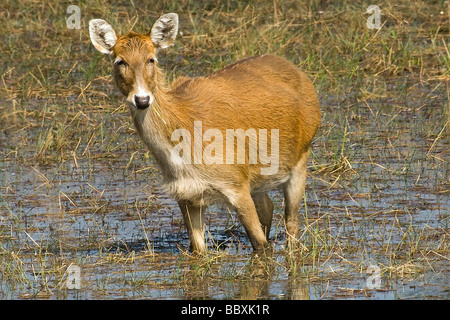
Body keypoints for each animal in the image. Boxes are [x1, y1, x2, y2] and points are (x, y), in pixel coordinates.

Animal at [89, 12, 320, 254]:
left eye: (151, 59)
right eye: (120, 61)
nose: (142, 99)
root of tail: (300, 73)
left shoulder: (236, 183)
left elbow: (261, 247)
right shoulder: (186, 195)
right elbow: (198, 250)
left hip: (302, 156)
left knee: (291, 223)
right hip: (259, 178)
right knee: (268, 208)